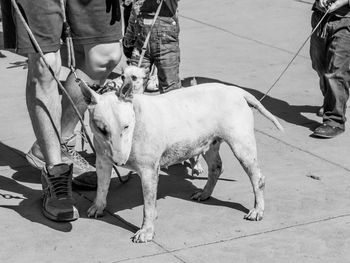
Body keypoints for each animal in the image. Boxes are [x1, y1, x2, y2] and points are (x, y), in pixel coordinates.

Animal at [83, 66, 284, 243]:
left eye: (126, 126)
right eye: (102, 129)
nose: (120, 161)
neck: (137, 115)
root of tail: (236, 90)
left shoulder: (148, 171)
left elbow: (148, 205)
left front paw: (146, 232)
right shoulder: (102, 161)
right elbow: (102, 186)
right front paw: (98, 206)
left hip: (241, 145)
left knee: (257, 178)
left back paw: (257, 210)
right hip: (208, 142)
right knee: (216, 167)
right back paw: (204, 193)